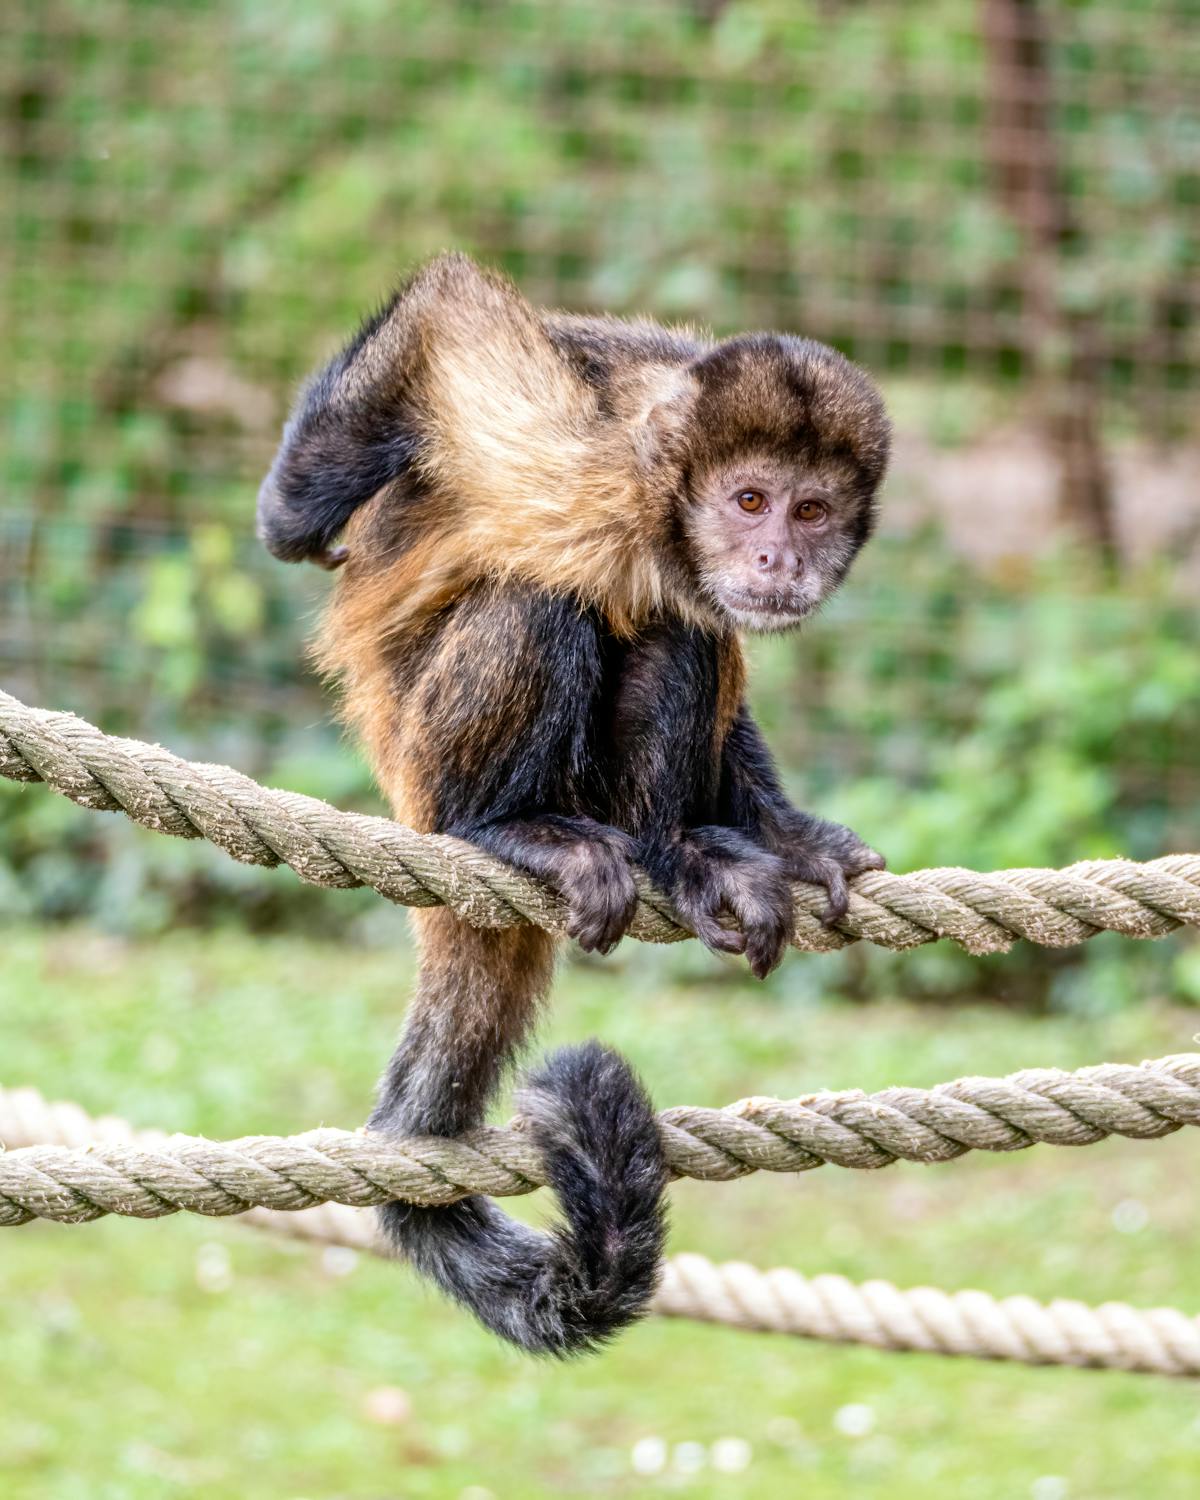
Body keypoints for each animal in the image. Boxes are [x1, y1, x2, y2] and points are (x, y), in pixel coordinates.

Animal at [257, 253, 891, 1356]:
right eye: (751, 500)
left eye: (810, 512)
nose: (778, 558)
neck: (658, 509)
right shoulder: (585, 467)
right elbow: (450, 315)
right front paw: (292, 515)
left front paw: (784, 833)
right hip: (425, 761)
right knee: (542, 596)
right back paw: (506, 829)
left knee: (677, 628)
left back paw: (681, 849)